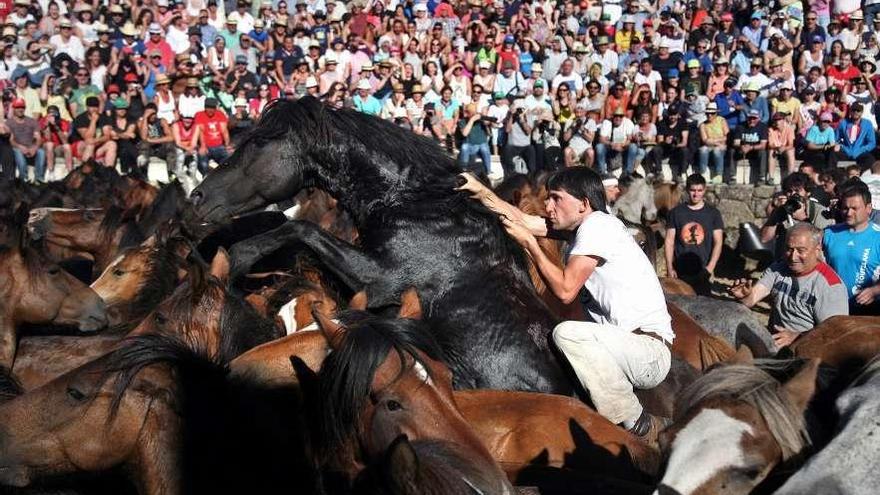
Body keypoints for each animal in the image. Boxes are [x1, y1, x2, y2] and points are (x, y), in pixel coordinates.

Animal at [186, 97, 572, 396]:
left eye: (259, 143)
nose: (197, 197)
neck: (412, 203)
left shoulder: (379, 280)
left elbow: (299, 227)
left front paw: (236, 259)